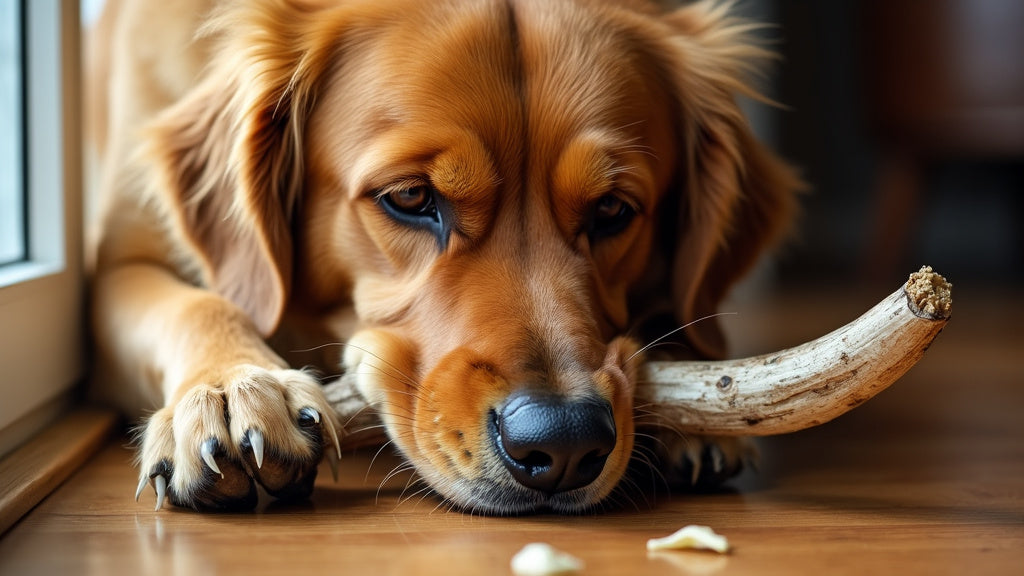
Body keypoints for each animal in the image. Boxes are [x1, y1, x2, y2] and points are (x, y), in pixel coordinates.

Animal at [88, 0, 798, 510]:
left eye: (613, 211)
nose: (564, 443)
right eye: (410, 196)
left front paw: (691, 405)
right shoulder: (116, 267)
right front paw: (232, 388)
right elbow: (196, 304)